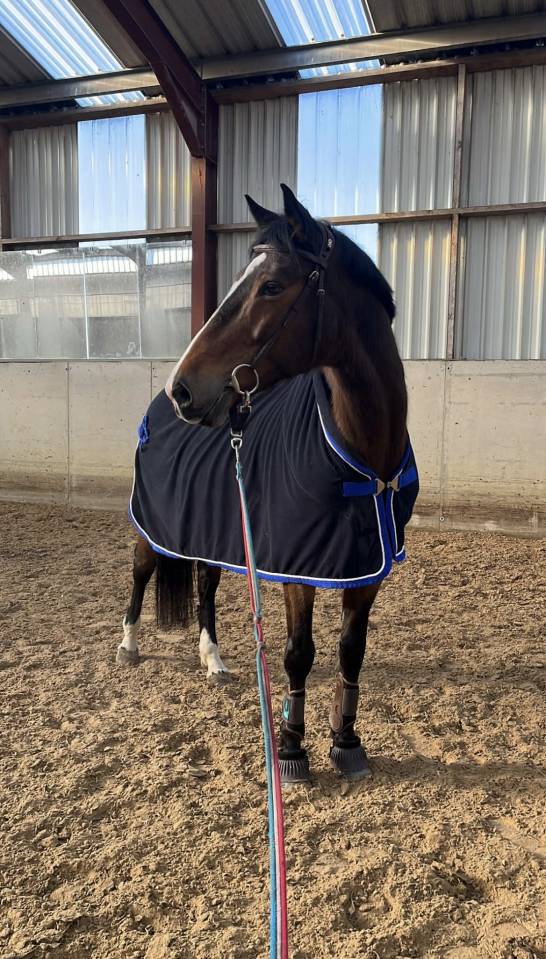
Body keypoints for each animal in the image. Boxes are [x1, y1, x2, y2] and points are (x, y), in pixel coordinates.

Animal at [118, 184, 418, 783]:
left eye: (272, 286)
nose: (183, 389)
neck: (362, 452)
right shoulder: (297, 565)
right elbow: (298, 652)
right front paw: (292, 748)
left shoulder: (367, 567)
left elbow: (351, 650)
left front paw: (346, 741)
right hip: (153, 525)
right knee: (140, 573)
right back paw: (130, 645)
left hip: (212, 525)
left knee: (206, 583)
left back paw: (213, 659)